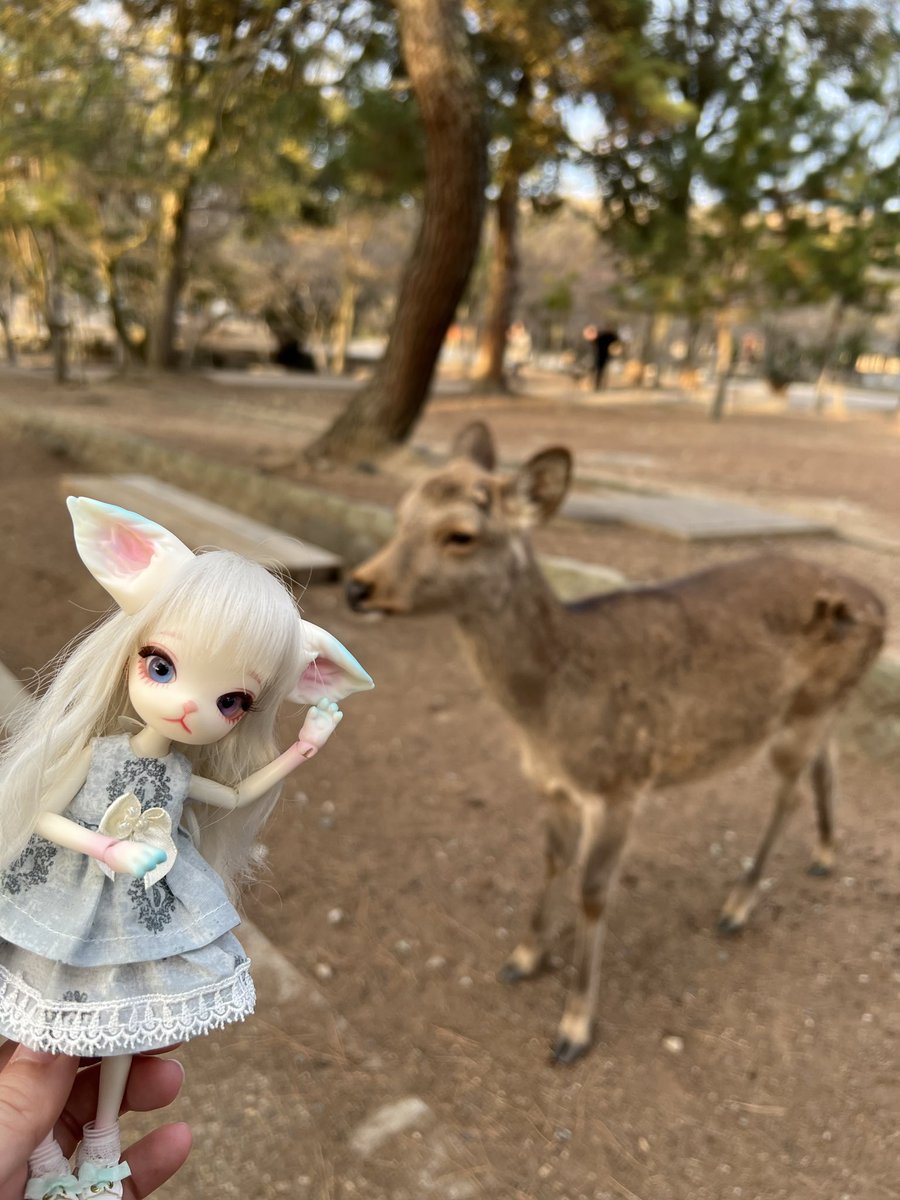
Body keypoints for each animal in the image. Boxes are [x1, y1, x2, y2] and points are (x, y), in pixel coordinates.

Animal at [345, 421, 886, 1063]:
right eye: (401, 512)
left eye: (460, 535)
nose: (358, 587)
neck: (549, 716)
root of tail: (880, 604)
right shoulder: (552, 785)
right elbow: (552, 859)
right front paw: (522, 958)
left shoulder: (622, 784)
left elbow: (592, 890)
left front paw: (574, 1028)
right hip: (817, 707)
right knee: (827, 761)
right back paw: (824, 855)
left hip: (801, 717)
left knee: (790, 790)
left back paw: (737, 907)